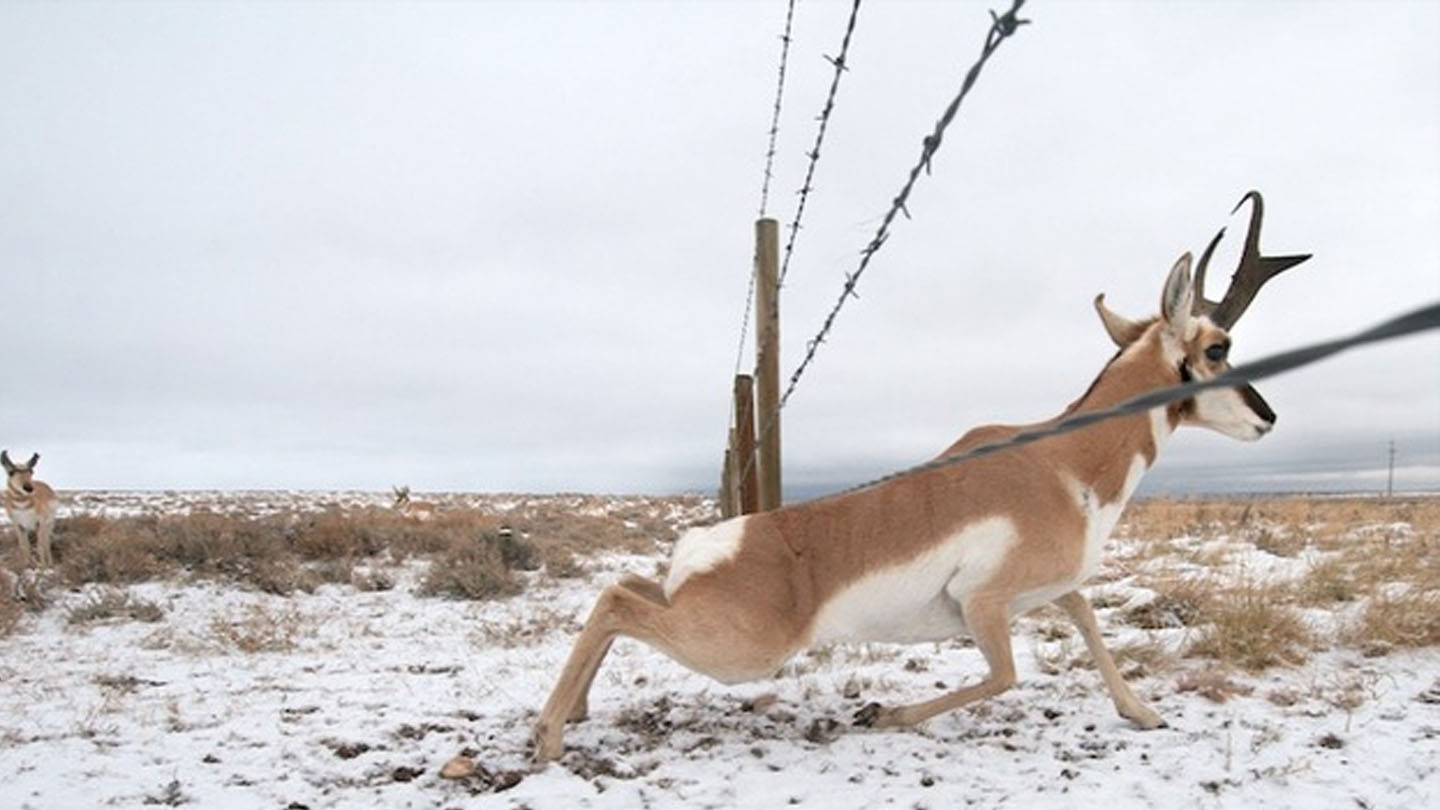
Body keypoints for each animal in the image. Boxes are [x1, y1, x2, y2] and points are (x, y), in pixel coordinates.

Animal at [535, 191, 1313, 760]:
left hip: (697, 616)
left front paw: (1143, 712)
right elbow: (1005, 674)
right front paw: (883, 713)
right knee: (615, 601)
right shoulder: (984, 605)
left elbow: (1089, 619)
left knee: (622, 588)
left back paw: (572, 715)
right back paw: (546, 739)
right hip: (742, 653)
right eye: (1219, 347)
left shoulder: (1050, 589)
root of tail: (720, 541)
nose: (1271, 416)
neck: (1064, 463)